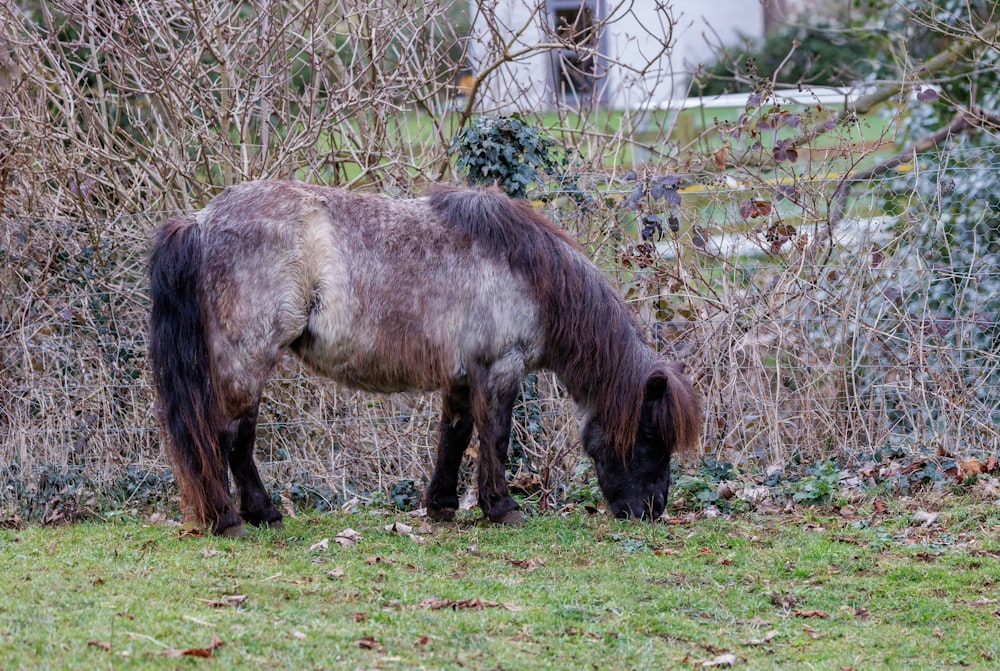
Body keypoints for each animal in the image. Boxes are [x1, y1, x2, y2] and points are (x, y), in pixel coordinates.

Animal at [146, 178, 704, 536]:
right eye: (649, 436)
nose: (653, 510)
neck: (528, 272)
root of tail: (199, 221)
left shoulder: (460, 375)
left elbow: (453, 437)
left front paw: (441, 506)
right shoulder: (501, 369)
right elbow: (495, 437)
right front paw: (502, 508)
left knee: (233, 441)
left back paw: (259, 515)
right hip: (247, 359)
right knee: (227, 439)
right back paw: (234, 519)